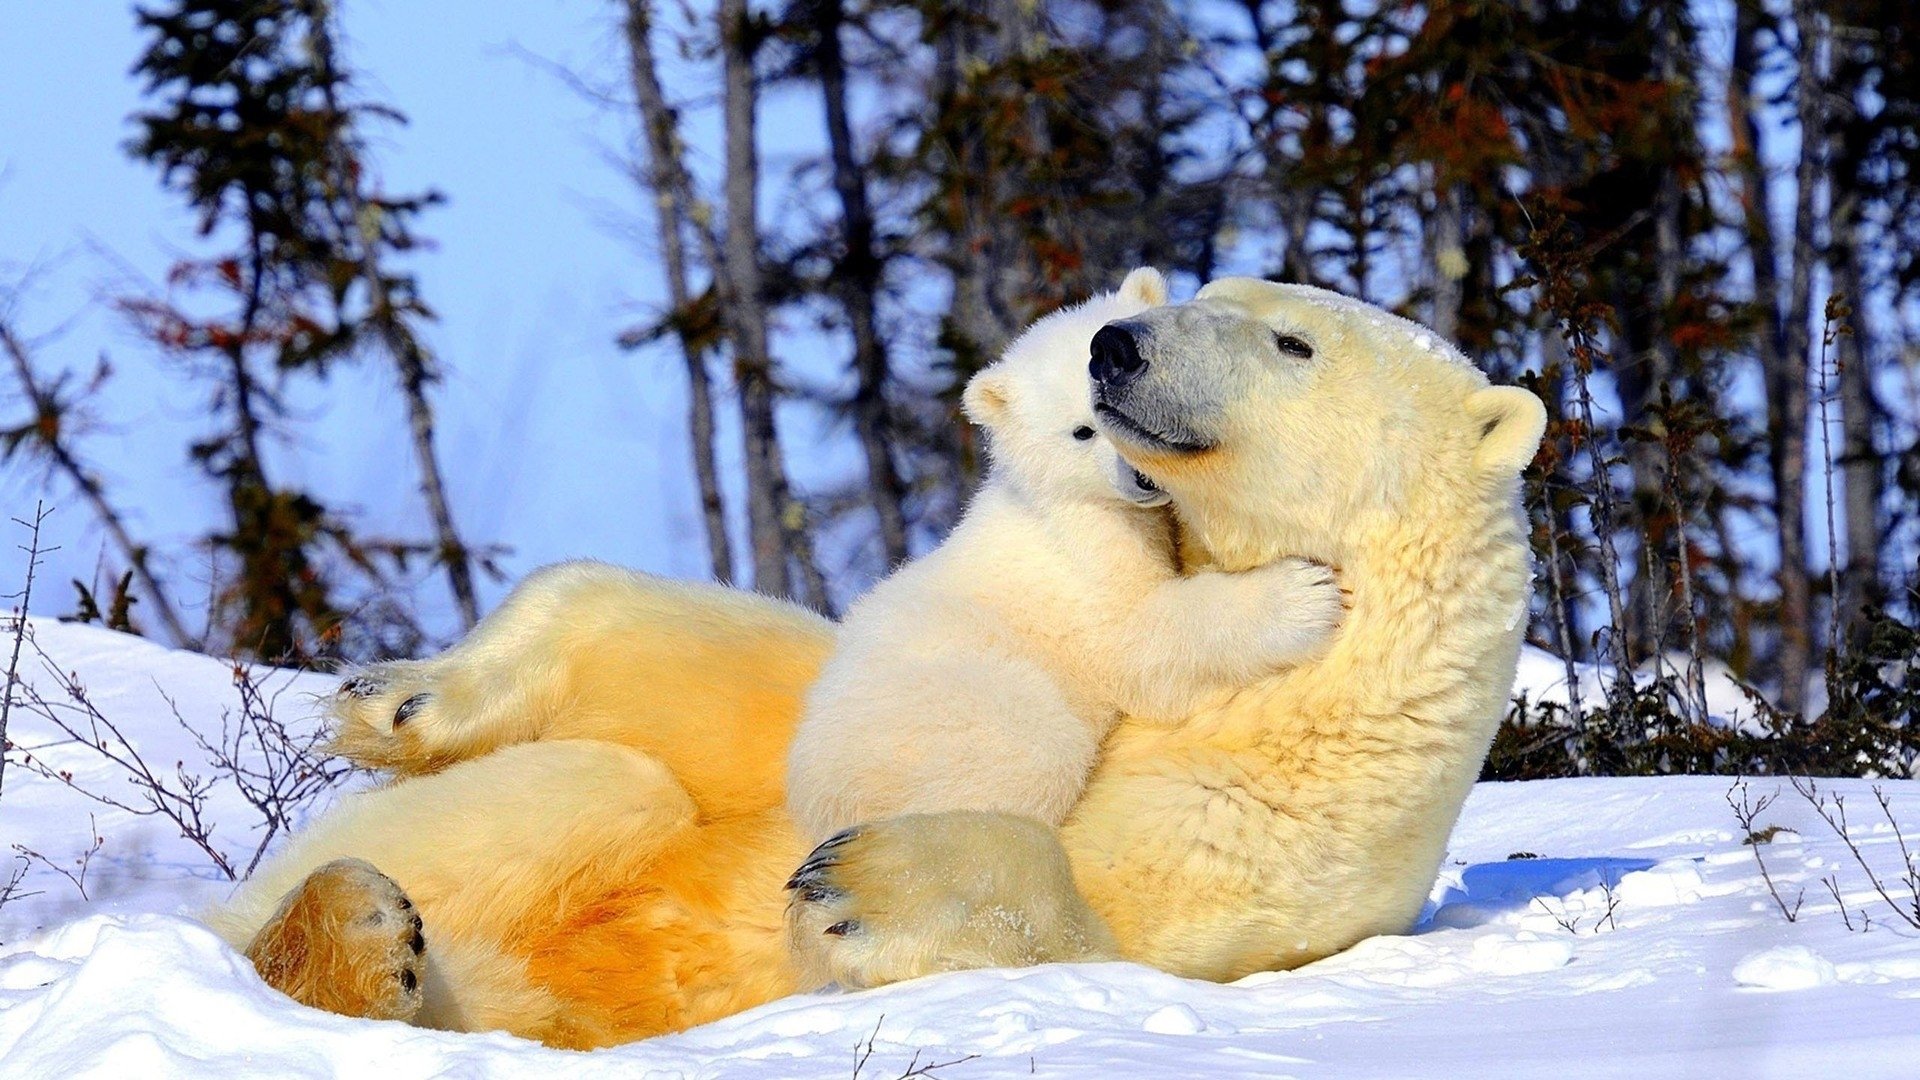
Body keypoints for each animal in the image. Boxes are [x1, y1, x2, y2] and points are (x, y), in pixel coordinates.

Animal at [206, 276, 1543, 1045]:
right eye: (1206, 283)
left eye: (1292, 342)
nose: (1118, 346)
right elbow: (716, 679)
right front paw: (399, 697)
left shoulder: (1286, 834)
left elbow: (1107, 928)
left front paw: (865, 881)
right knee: (595, 788)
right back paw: (350, 921)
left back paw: (364, 949)